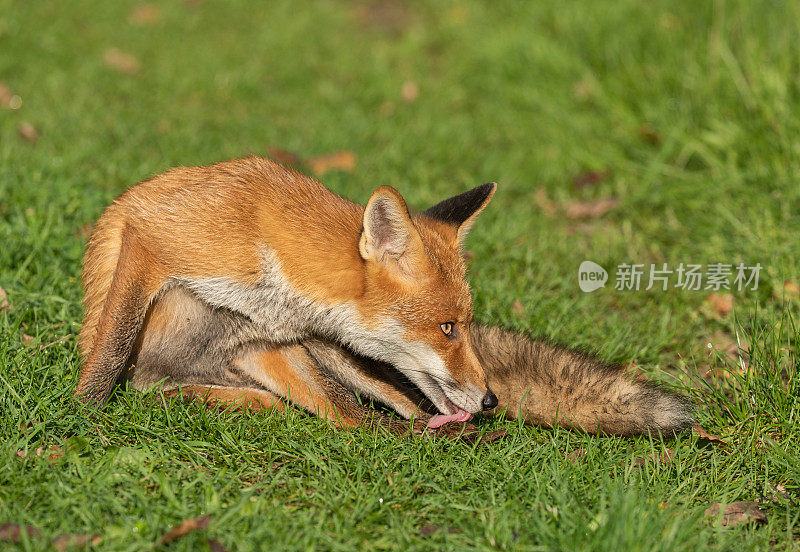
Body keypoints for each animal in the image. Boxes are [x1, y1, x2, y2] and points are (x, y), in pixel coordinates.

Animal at [76, 157, 692, 438]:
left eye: (467, 325)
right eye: (448, 328)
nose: (491, 399)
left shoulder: (267, 341)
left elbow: (348, 414)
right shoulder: (153, 238)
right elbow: (111, 351)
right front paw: (80, 417)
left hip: (339, 358)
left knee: (389, 402)